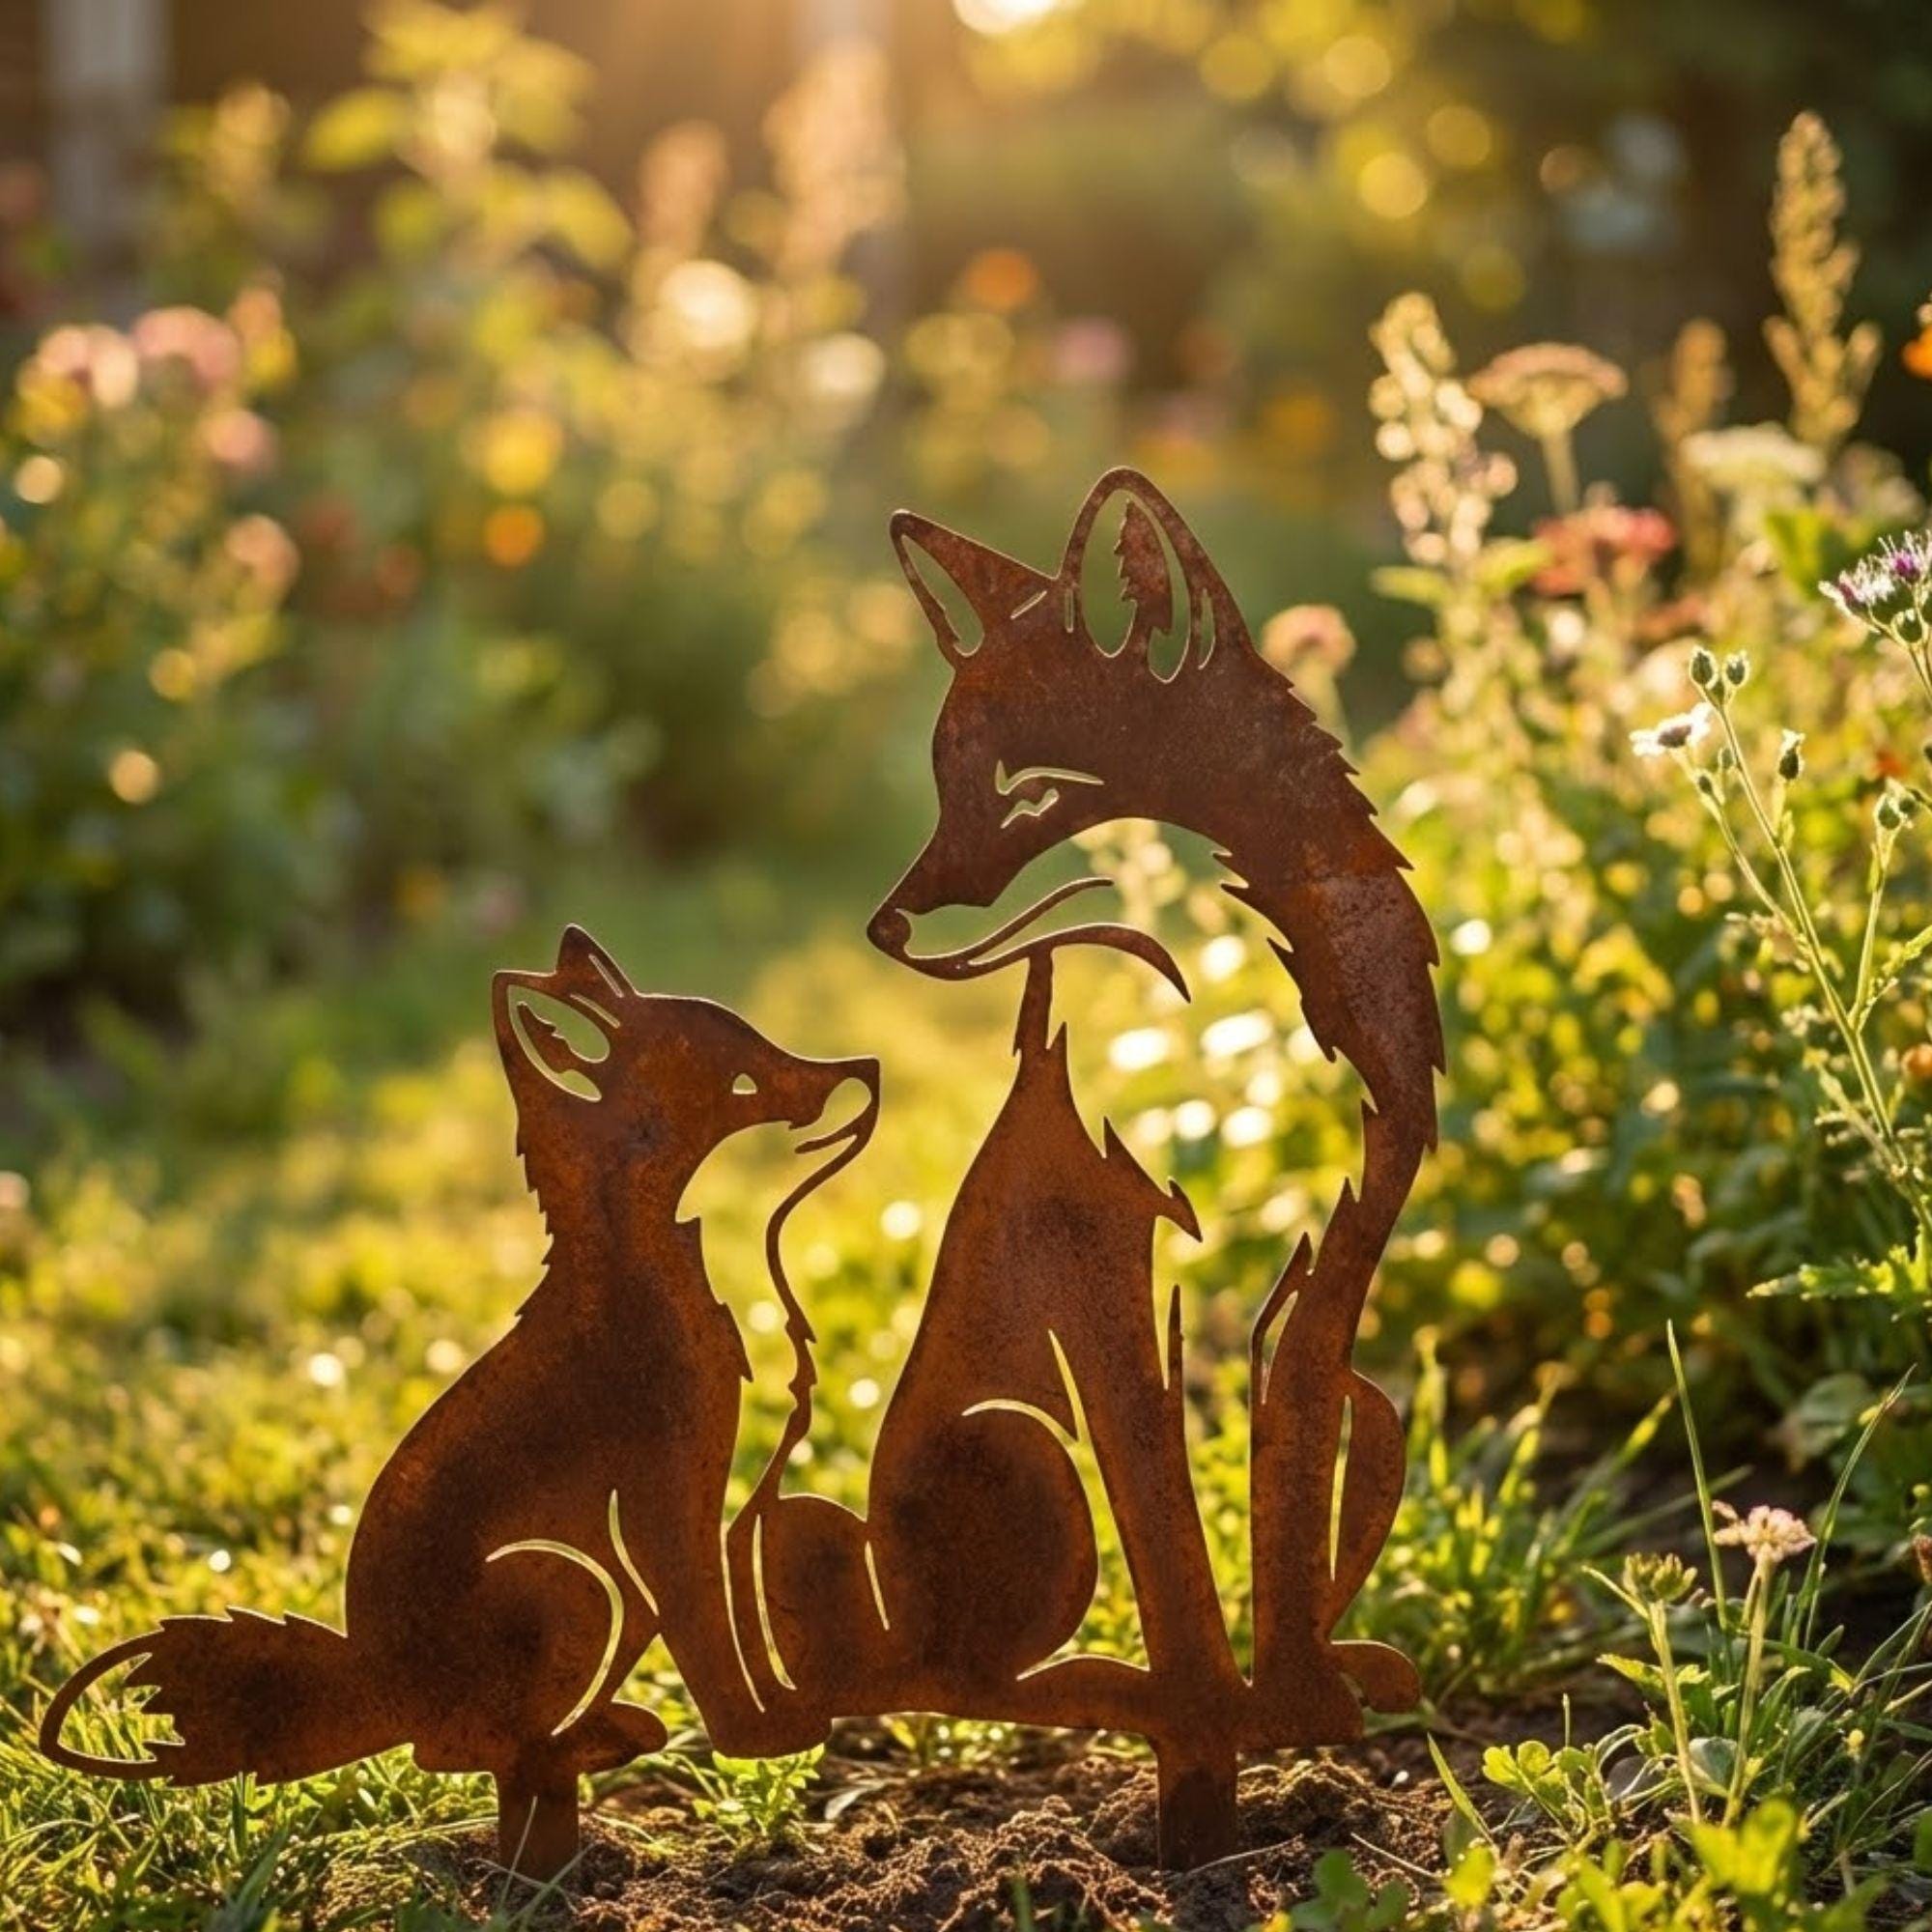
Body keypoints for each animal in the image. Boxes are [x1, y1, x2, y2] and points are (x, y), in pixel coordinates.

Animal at [40, 925, 878, 1872]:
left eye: (774, 1048)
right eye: (744, 1081)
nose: (865, 1069)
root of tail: (374, 1676)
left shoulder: (735, 1502)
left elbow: (747, 1625)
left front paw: (789, 1719)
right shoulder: (664, 1504)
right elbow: (711, 1643)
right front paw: (754, 1737)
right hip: (572, 1584)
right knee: (459, 1748)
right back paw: (571, 1767)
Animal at [859, 468, 1442, 1859]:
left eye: (1022, 791)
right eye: (939, 790)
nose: (883, 927)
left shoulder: (1330, 1263)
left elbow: (1280, 1509)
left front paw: (1290, 1709)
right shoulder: (1120, 1258)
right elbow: (1174, 1549)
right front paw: (1201, 1744)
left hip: (1380, 1409)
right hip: (1017, 1454)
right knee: (973, 1677)